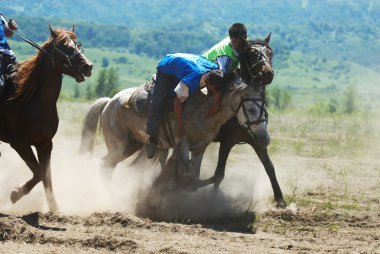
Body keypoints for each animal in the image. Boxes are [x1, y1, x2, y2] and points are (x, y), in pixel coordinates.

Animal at [0, 25, 93, 212]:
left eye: (78, 44)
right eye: (65, 47)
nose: (88, 66)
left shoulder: (45, 143)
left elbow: (46, 175)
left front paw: (54, 208)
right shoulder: (20, 144)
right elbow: (39, 173)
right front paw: (15, 194)